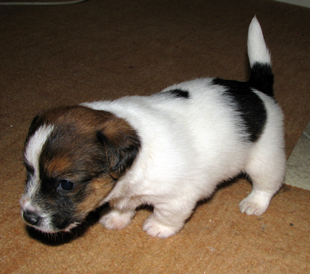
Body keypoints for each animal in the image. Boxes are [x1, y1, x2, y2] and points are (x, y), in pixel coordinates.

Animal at [20, 17, 286, 239]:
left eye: (66, 184)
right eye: (29, 170)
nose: (28, 216)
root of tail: (256, 88)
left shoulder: (177, 198)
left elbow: (167, 215)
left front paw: (158, 227)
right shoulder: (125, 193)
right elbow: (122, 206)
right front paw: (116, 218)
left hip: (265, 158)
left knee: (267, 184)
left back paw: (254, 203)